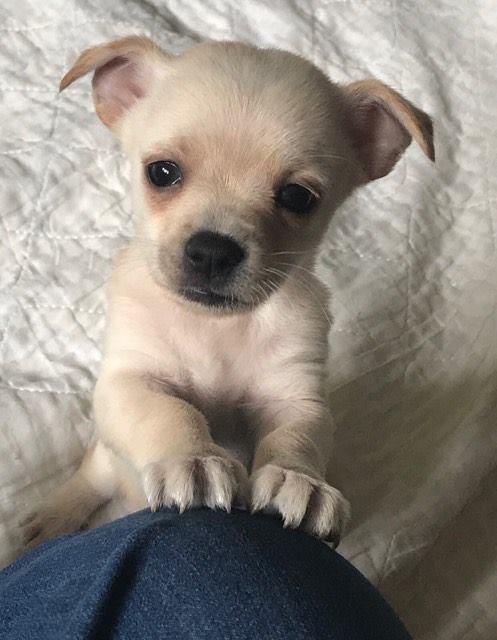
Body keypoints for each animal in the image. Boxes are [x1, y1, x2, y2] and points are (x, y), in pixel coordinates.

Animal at [20, 36, 430, 552]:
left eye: (298, 197)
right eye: (162, 173)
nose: (213, 251)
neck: (214, 327)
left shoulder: (294, 397)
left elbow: (295, 438)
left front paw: (298, 480)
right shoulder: (130, 381)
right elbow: (170, 411)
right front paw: (193, 460)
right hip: (106, 459)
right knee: (93, 475)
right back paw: (52, 517)